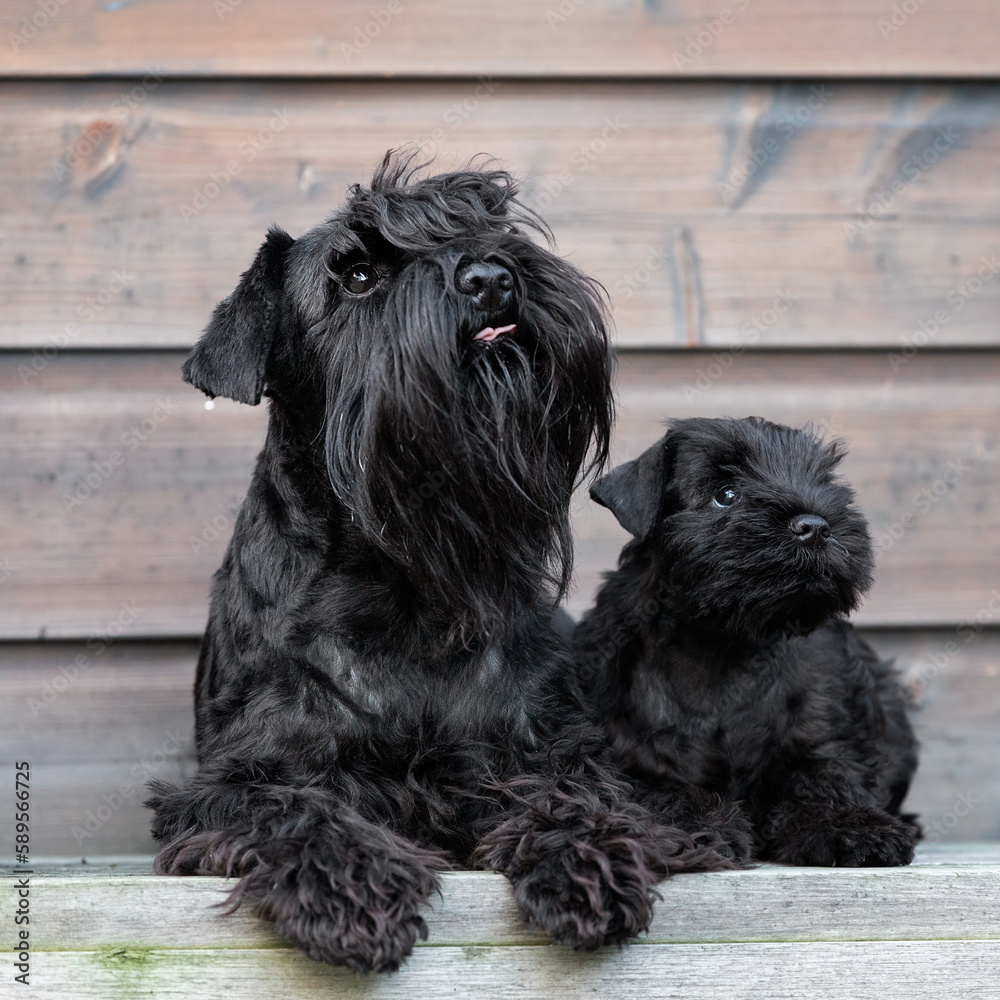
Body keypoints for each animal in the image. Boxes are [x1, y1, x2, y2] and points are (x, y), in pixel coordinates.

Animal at [148, 156, 732, 976]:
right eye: (357, 275)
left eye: (489, 221)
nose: (490, 276)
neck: (408, 582)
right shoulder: (231, 781)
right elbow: (292, 806)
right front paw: (355, 887)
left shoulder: (538, 751)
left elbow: (574, 791)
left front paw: (589, 857)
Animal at [572, 416, 920, 868]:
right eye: (725, 495)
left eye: (822, 480)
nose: (815, 527)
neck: (726, 642)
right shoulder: (632, 755)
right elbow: (665, 790)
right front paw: (703, 823)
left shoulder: (825, 727)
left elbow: (828, 774)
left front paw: (850, 825)